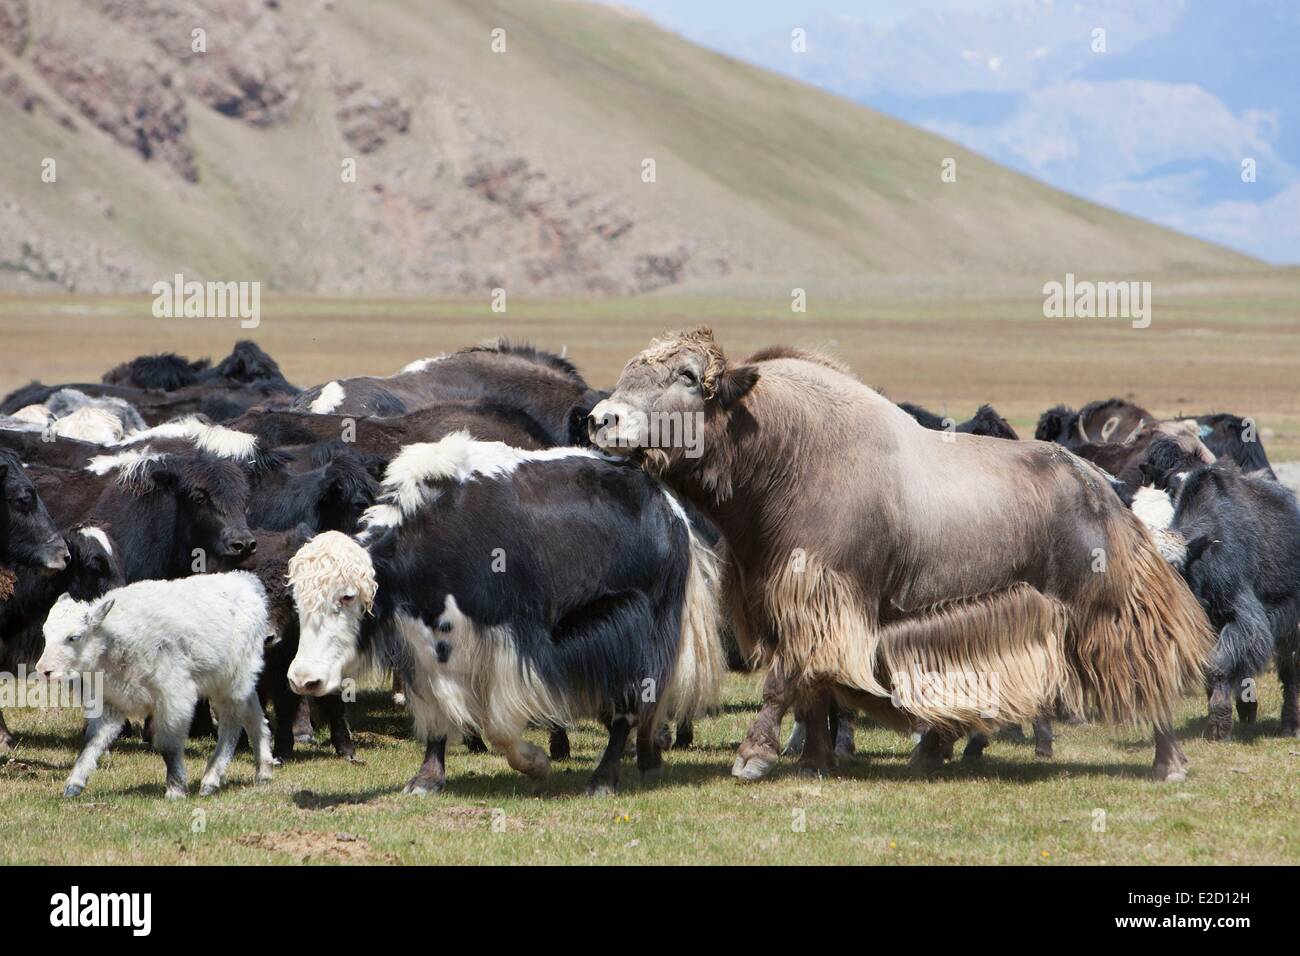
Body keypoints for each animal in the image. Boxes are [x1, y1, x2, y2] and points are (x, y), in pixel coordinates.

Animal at [37, 574, 274, 801]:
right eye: (46, 634)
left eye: (74, 637)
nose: (44, 670)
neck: (113, 641)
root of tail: (248, 585)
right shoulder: (110, 703)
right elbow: (92, 742)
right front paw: (73, 785)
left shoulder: (173, 697)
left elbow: (168, 745)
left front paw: (176, 790)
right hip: (239, 682)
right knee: (254, 714)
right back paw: (263, 771)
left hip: (231, 683)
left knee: (230, 724)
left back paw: (211, 780)